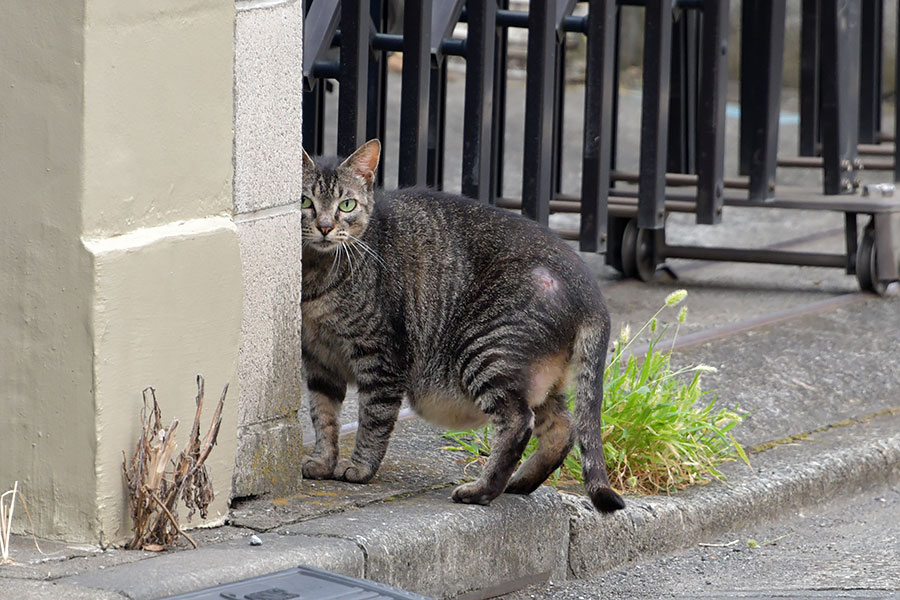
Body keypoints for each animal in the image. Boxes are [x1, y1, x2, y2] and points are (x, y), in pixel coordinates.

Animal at [302, 139, 624, 510]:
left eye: (347, 205)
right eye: (306, 202)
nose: (325, 226)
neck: (315, 274)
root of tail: (588, 285)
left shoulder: (382, 357)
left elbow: (373, 419)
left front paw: (359, 468)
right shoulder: (318, 361)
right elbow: (323, 416)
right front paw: (323, 462)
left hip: (487, 350)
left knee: (518, 423)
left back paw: (481, 490)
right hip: (540, 379)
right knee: (563, 428)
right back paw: (519, 483)